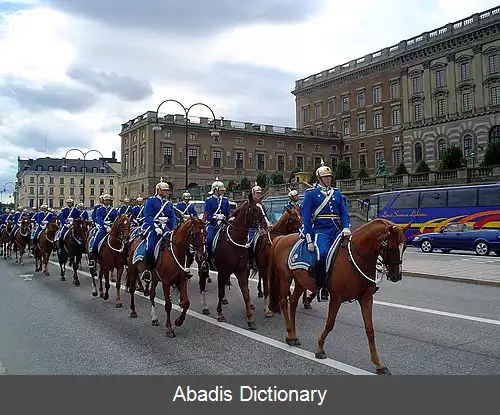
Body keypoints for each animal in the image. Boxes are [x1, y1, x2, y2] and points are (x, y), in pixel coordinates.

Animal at [199, 193, 270, 330]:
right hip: (203, 267)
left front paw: (250, 319)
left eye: (264, 208)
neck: (234, 241)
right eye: (254, 209)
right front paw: (220, 314)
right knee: (203, 285)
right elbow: (220, 292)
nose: (267, 226)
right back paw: (204, 307)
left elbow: (246, 293)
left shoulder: (241, 270)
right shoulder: (223, 271)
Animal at [268, 219, 408, 376]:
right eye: (391, 247)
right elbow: (330, 324)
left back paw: (293, 335)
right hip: (286, 278)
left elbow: (370, 330)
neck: (355, 257)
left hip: (300, 282)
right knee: (283, 302)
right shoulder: (336, 298)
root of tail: (281, 238)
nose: (396, 276)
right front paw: (320, 348)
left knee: (292, 303)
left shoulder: (366, 299)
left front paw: (379, 364)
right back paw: (289, 334)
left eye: (404, 247)